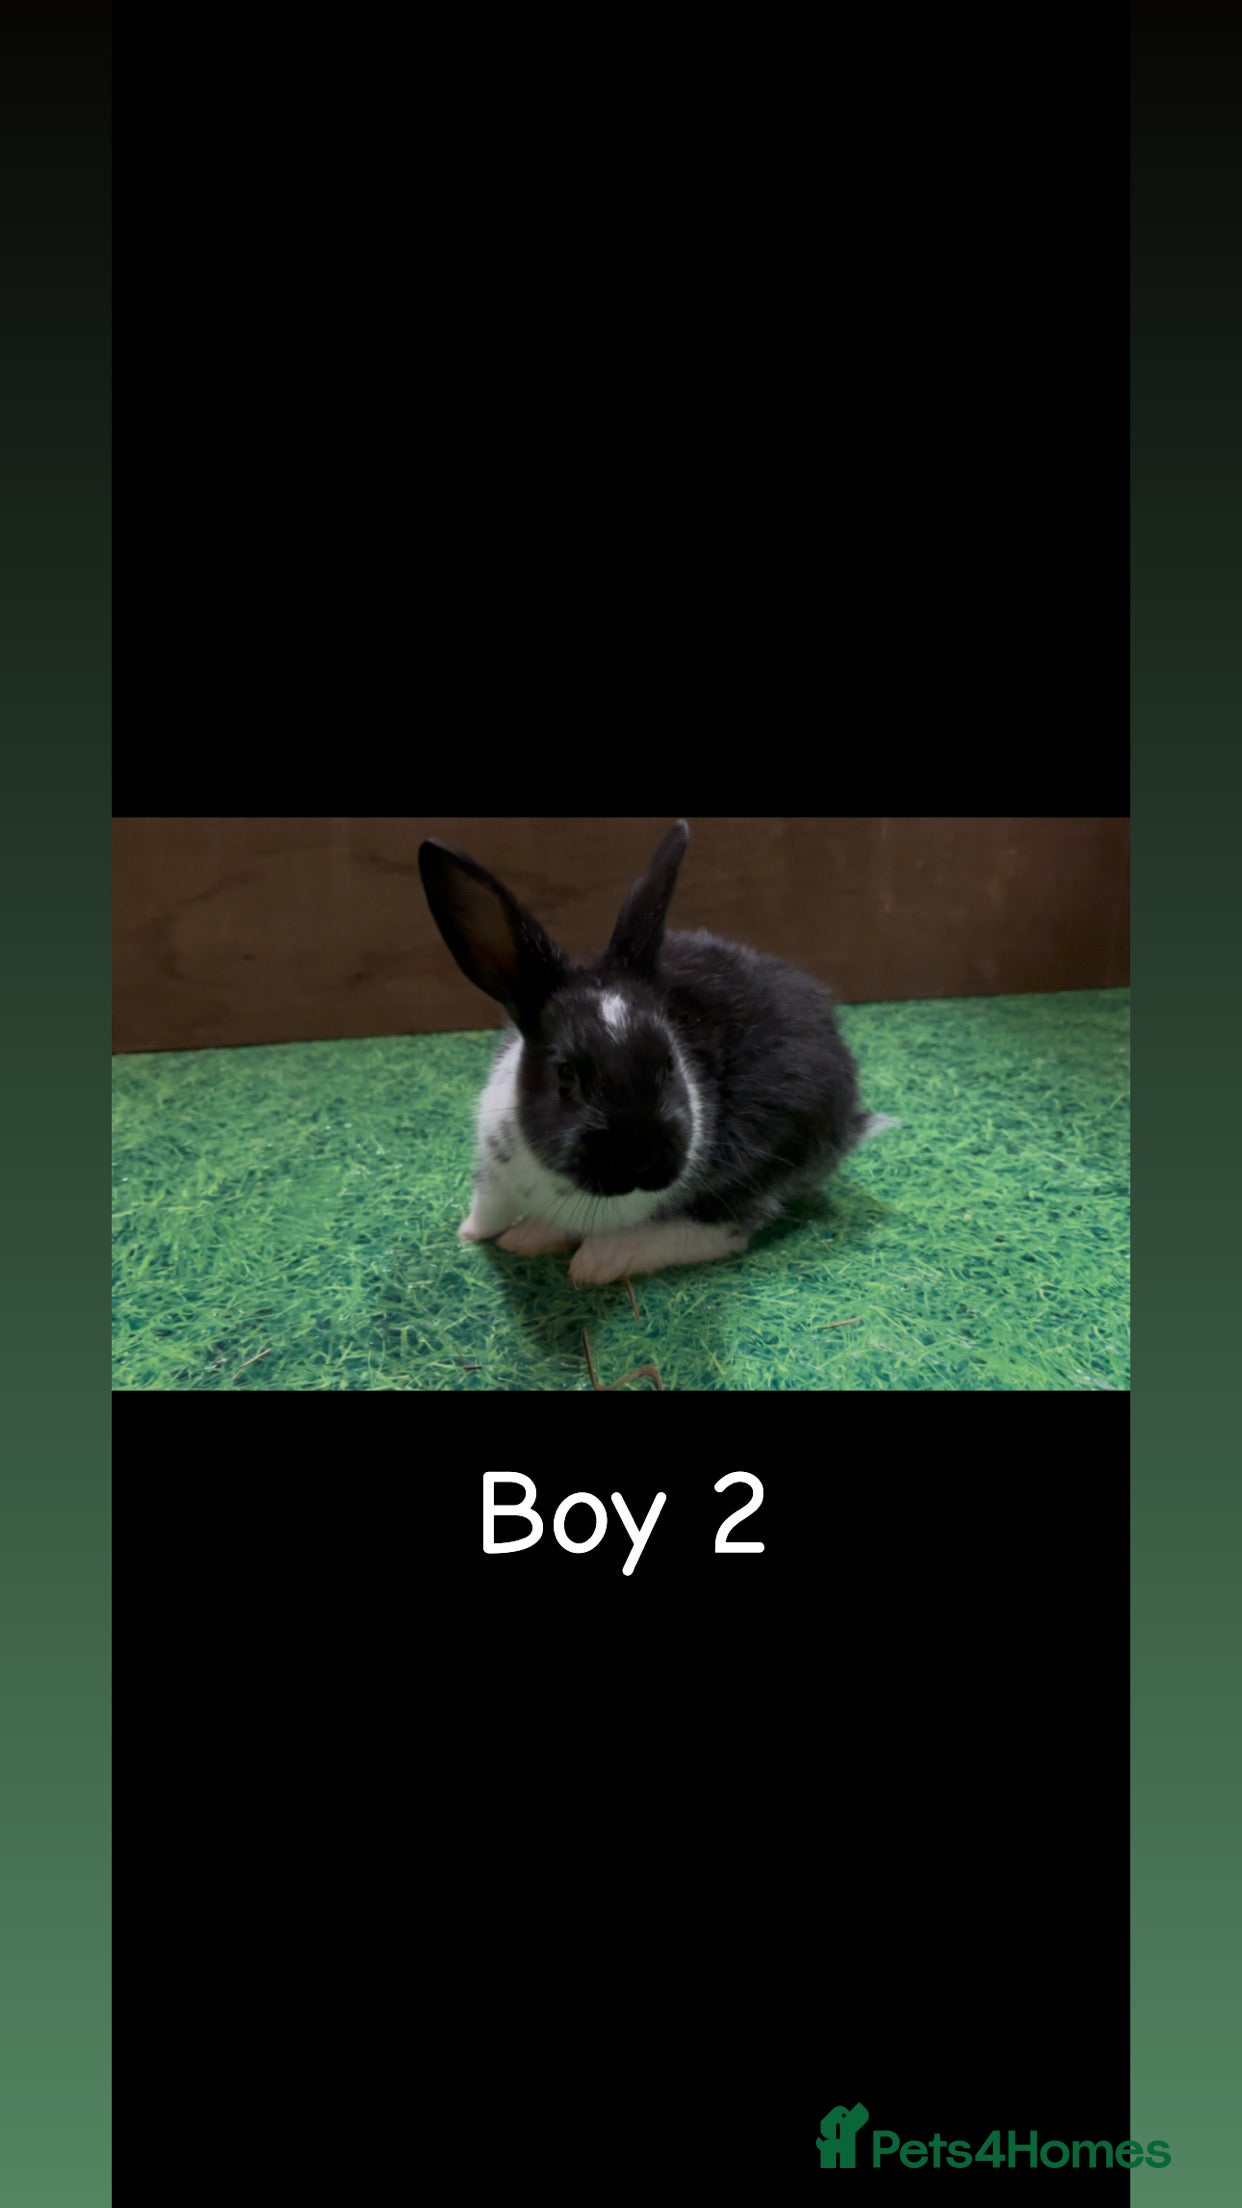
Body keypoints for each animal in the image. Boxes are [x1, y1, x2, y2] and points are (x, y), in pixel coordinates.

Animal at [417, 820, 898, 1285]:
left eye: (670, 1064)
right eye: (565, 1074)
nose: (643, 1158)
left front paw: (561, 1249)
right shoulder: (493, 1169)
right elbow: (489, 1207)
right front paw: (473, 1234)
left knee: (724, 1229)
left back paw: (598, 1258)